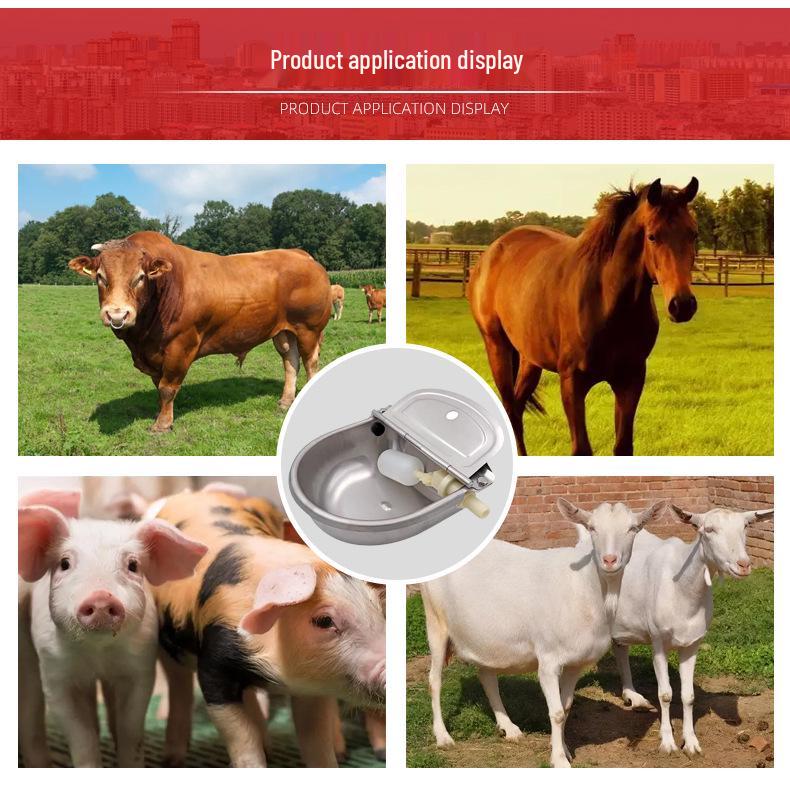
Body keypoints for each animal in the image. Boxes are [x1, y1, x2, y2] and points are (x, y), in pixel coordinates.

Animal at [69, 232, 332, 432]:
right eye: (100, 277)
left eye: (140, 277)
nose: (117, 315)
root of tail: (301, 254)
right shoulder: (154, 354)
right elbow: (159, 386)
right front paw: (161, 415)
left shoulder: (180, 346)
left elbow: (167, 387)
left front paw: (162, 425)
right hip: (284, 331)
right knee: (290, 361)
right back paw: (286, 401)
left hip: (308, 328)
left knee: (310, 363)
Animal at [421, 497, 666, 767]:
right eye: (592, 528)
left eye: (633, 528)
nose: (610, 560)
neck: (583, 588)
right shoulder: (548, 659)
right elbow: (556, 712)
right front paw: (559, 759)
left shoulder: (576, 663)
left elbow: (566, 707)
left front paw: (564, 748)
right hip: (435, 620)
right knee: (434, 680)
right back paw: (443, 736)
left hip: (486, 637)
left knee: (487, 676)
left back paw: (509, 727)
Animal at [469, 177, 699, 456]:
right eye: (653, 236)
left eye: (693, 233)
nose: (682, 304)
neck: (606, 303)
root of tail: (491, 253)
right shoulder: (572, 383)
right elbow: (581, 448)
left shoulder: (630, 380)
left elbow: (623, 446)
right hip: (497, 347)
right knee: (510, 408)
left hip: (530, 358)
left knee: (517, 405)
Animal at [612, 505, 773, 755]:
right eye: (708, 529)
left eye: (745, 526)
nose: (744, 565)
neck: (682, 588)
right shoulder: (658, 642)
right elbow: (665, 694)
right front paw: (667, 742)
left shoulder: (692, 643)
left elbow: (688, 696)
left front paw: (691, 743)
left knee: (620, 647)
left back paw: (633, 697)